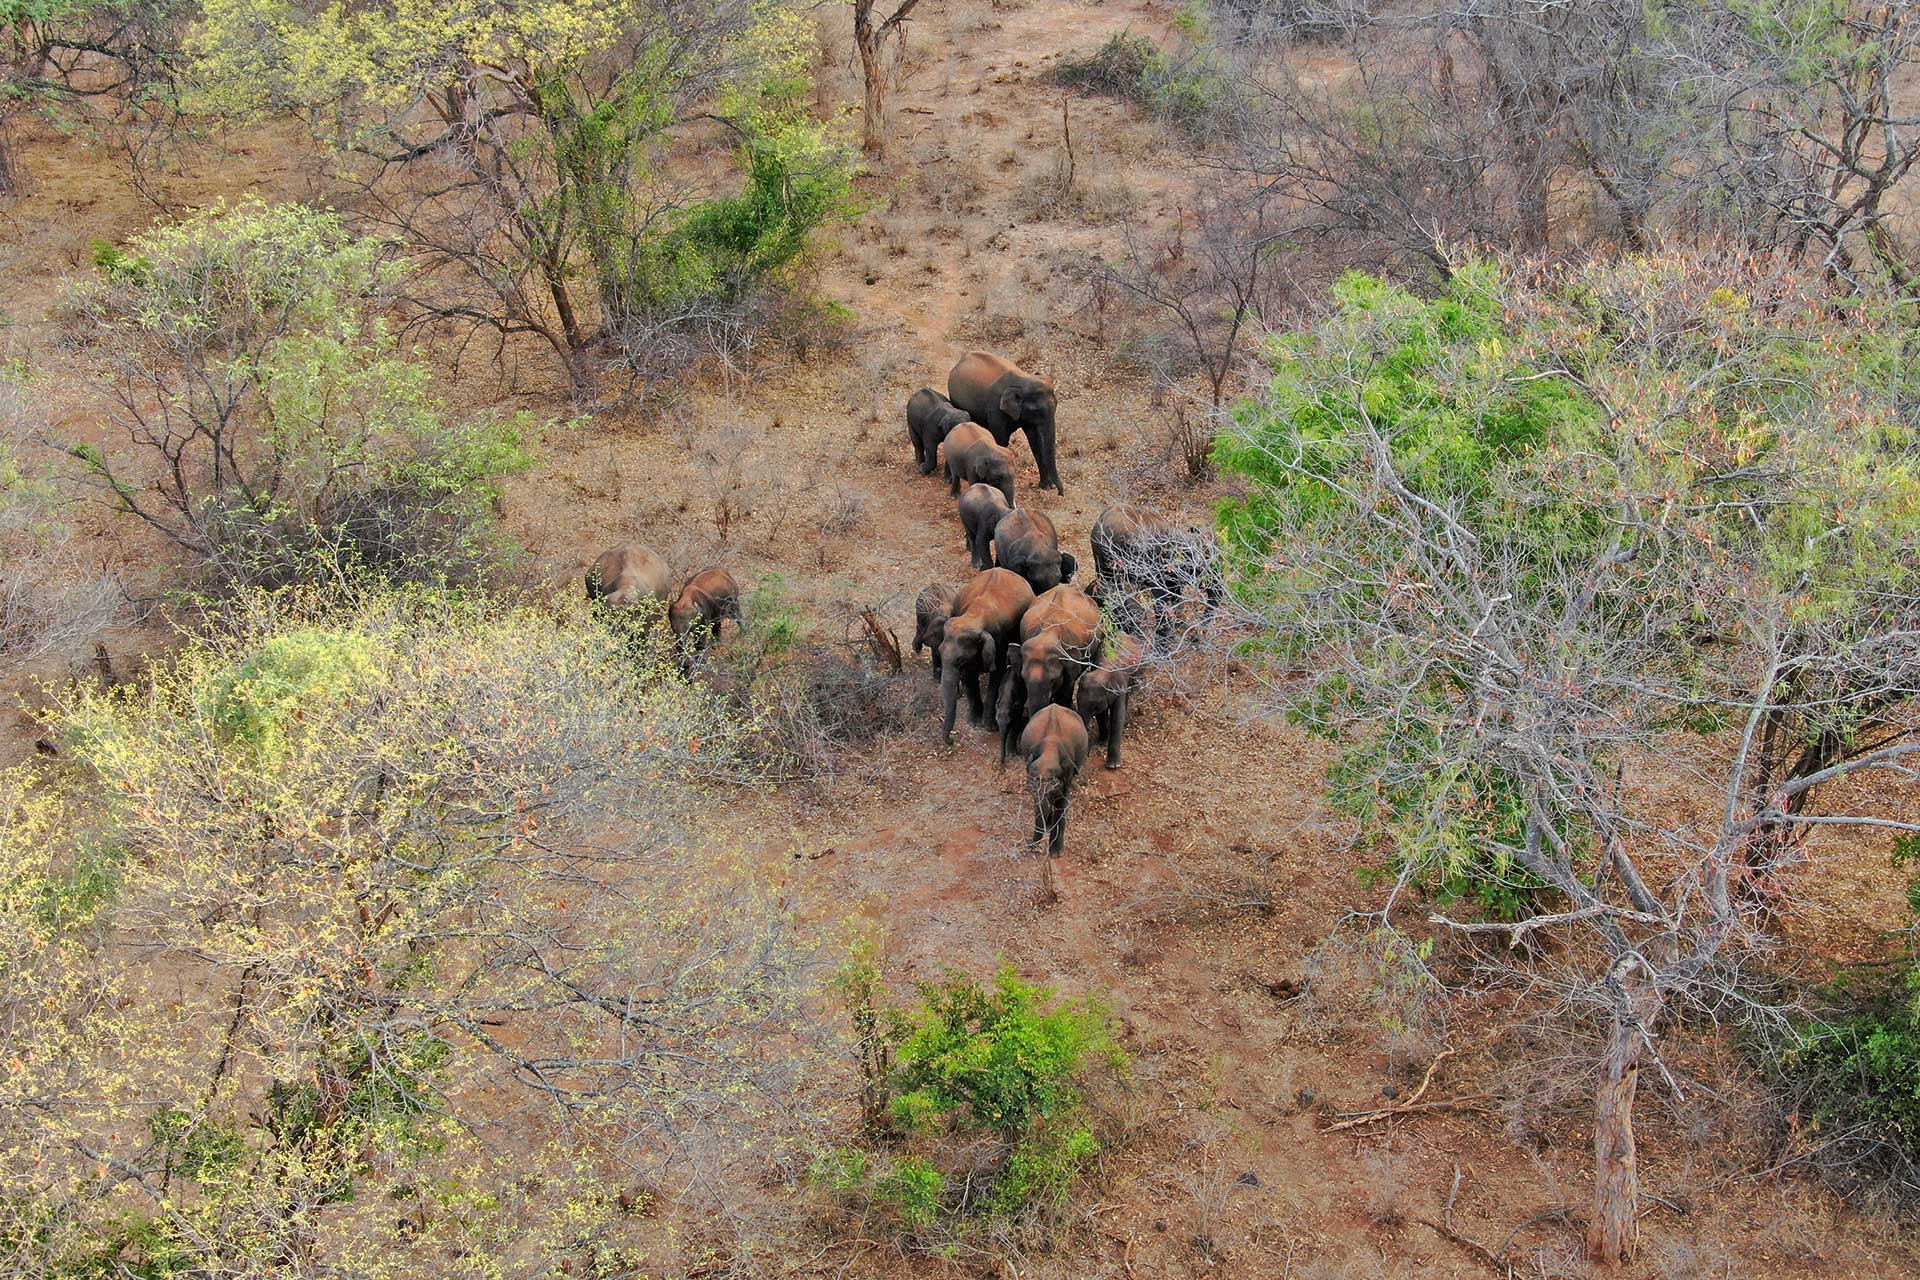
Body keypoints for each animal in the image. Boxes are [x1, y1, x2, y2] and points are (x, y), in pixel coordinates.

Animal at [939, 567, 1035, 745]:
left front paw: (989, 727)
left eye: (961, 660)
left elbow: (996, 674)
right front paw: (974, 722)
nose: (952, 740)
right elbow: (970, 677)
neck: (975, 614)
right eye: (940, 653)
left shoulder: (999, 640)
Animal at [949, 351, 1064, 495]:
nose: (1059, 493)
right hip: (954, 399)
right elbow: (1001, 440)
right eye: (1037, 410)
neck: (1024, 379)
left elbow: (1035, 440)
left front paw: (1047, 487)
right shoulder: (996, 409)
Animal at [1023, 704, 1090, 891]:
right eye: (1030, 790)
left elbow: (1062, 804)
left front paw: (1056, 854)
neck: (1049, 750)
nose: (1030, 847)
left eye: (1052, 791)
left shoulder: (1068, 773)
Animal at [1076, 630, 1145, 770]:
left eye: (1094, 707)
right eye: (1077, 700)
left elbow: (1117, 718)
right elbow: (1101, 715)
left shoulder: (1120, 688)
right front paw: (1101, 742)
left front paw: (1113, 766)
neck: (1103, 672)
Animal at [1090, 504, 1224, 648]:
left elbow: (1174, 595)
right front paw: (1163, 644)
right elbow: (1161, 599)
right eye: (1205, 566)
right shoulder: (1157, 567)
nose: (1196, 638)